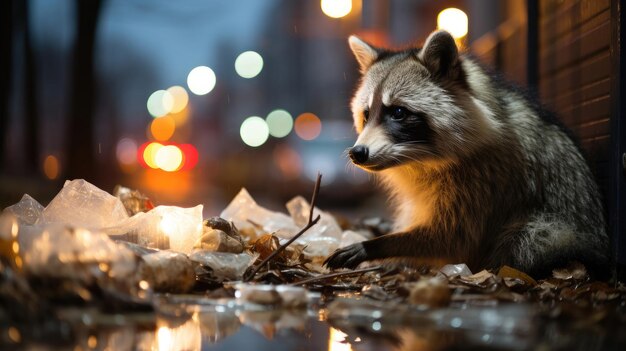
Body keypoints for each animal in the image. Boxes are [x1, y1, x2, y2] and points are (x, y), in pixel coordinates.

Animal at [324, 30, 608, 278]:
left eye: (398, 112)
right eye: (366, 114)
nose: (357, 153)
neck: (421, 159)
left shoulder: (485, 179)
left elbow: (452, 237)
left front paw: (381, 244)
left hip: (556, 230)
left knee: (531, 240)